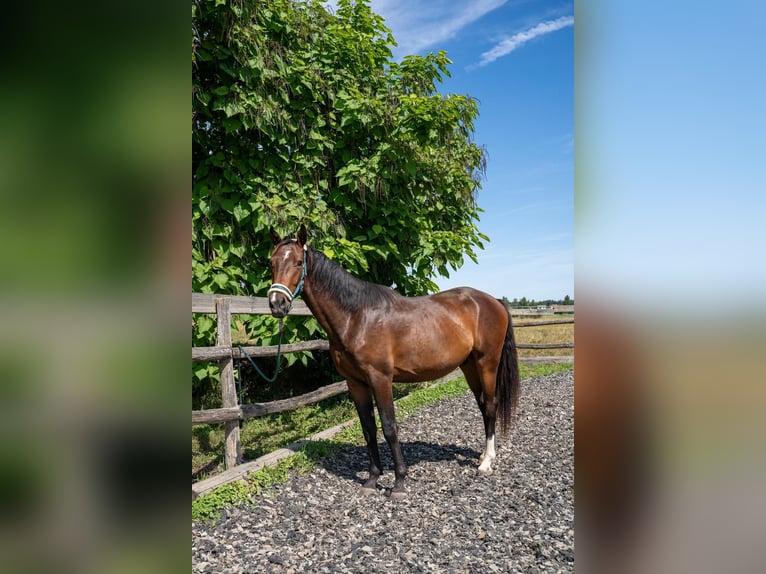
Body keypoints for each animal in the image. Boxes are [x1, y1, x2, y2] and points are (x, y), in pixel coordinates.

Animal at [267, 225, 520, 499]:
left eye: (298, 262)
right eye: (271, 262)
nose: (276, 304)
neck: (357, 317)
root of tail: (493, 301)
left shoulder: (380, 379)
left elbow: (389, 427)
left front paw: (399, 483)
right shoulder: (355, 383)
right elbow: (368, 429)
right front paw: (371, 480)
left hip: (487, 363)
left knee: (491, 405)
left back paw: (487, 462)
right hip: (469, 366)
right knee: (483, 406)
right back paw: (483, 456)